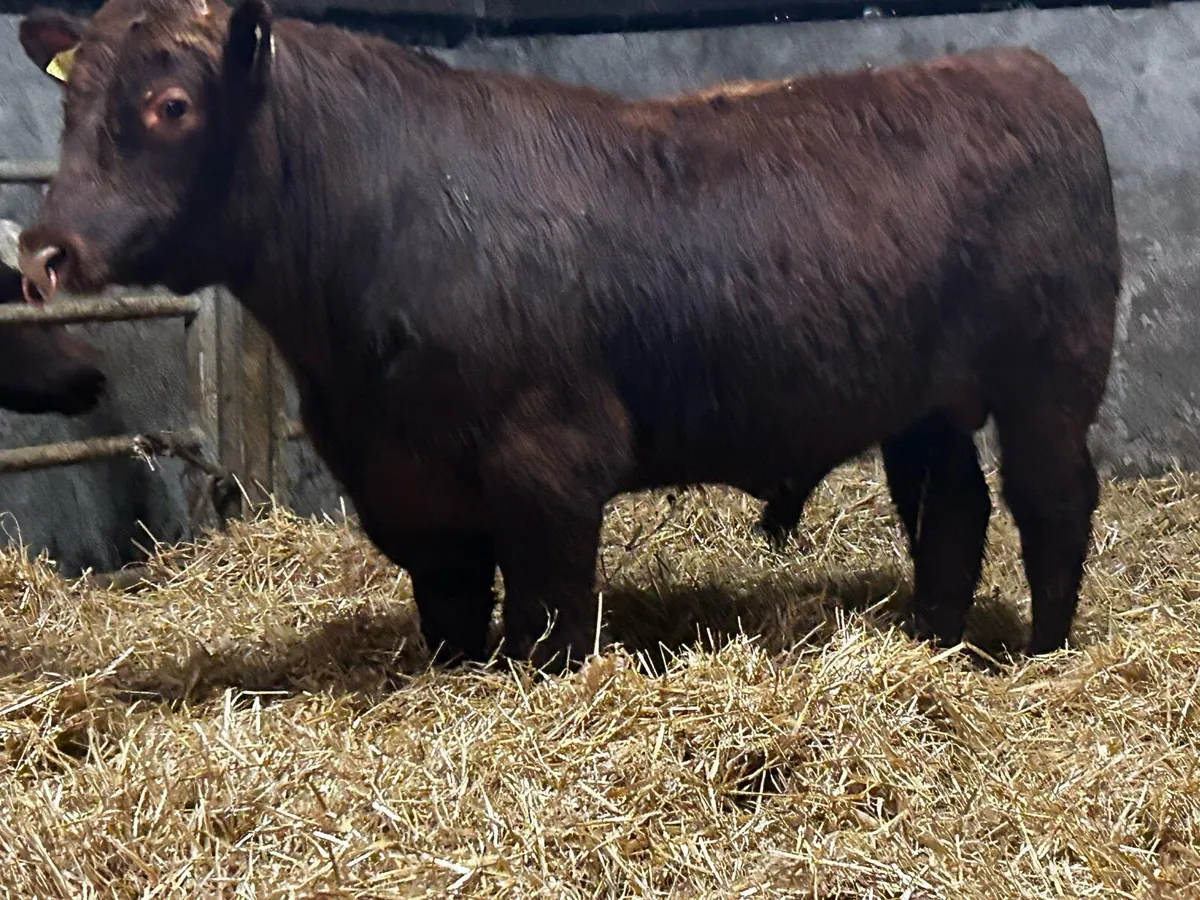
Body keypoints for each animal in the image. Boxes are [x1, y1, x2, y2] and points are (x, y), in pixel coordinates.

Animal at [15, 0, 1120, 671]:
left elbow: (548, 618)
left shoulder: (549, 461)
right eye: (72, 102)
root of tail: (1025, 68)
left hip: (1050, 377)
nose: (48, 249)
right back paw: (936, 643)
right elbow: (454, 615)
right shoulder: (405, 484)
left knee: (1050, 502)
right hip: (925, 405)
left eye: (171, 105)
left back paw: (1041, 654)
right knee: (954, 512)